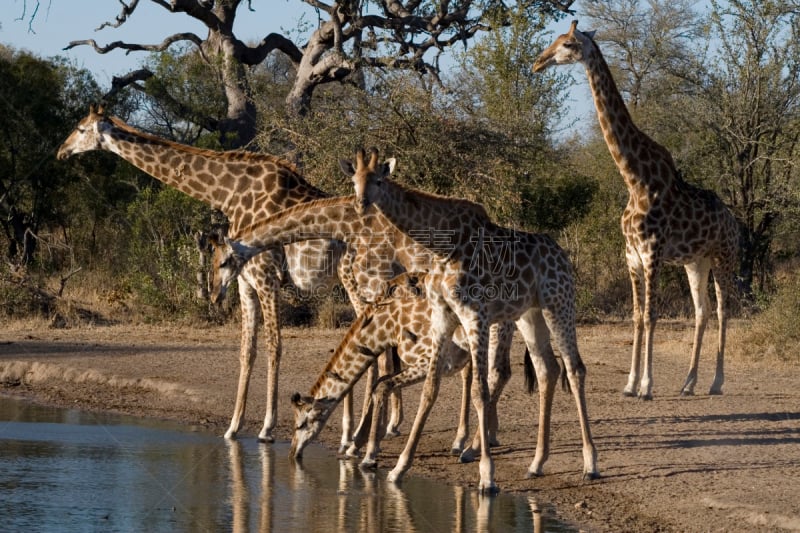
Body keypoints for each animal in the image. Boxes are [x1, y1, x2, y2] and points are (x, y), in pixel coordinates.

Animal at [54, 105, 392, 444]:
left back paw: (359, 434)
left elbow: (274, 347)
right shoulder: (245, 281)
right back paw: (368, 429)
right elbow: (247, 350)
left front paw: (267, 428)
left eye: (81, 129)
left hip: (358, 280)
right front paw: (233, 426)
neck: (230, 193)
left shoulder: (266, 276)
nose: (61, 151)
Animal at [208, 195, 512, 458]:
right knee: (495, 369)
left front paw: (359, 439)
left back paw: (467, 443)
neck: (350, 223)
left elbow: (377, 361)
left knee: (489, 369)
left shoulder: (375, 286)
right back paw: (483, 438)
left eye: (222, 262)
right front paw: (367, 434)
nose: (214, 294)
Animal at [340, 148, 596, 492]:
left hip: (559, 303)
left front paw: (487, 475)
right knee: (548, 370)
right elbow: (430, 388)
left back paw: (590, 464)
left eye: (379, 180)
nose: (361, 203)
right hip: (530, 315)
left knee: (574, 368)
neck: (443, 245)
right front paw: (399, 468)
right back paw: (536, 463)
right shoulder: (443, 316)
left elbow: (479, 390)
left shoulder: (476, 314)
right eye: (354, 180)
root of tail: (563, 255)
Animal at [536, 22, 740, 402]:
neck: (634, 180)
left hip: (724, 256)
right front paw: (630, 384)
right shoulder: (631, 255)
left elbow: (651, 315)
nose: (538, 62)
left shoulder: (652, 253)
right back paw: (689, 382)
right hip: (696, 261)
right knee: (701, 311)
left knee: (722, 310)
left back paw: (716, 382)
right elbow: (635, 316)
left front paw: (646, 385)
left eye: (567, 44)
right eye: (554, 40)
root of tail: (735, 221)